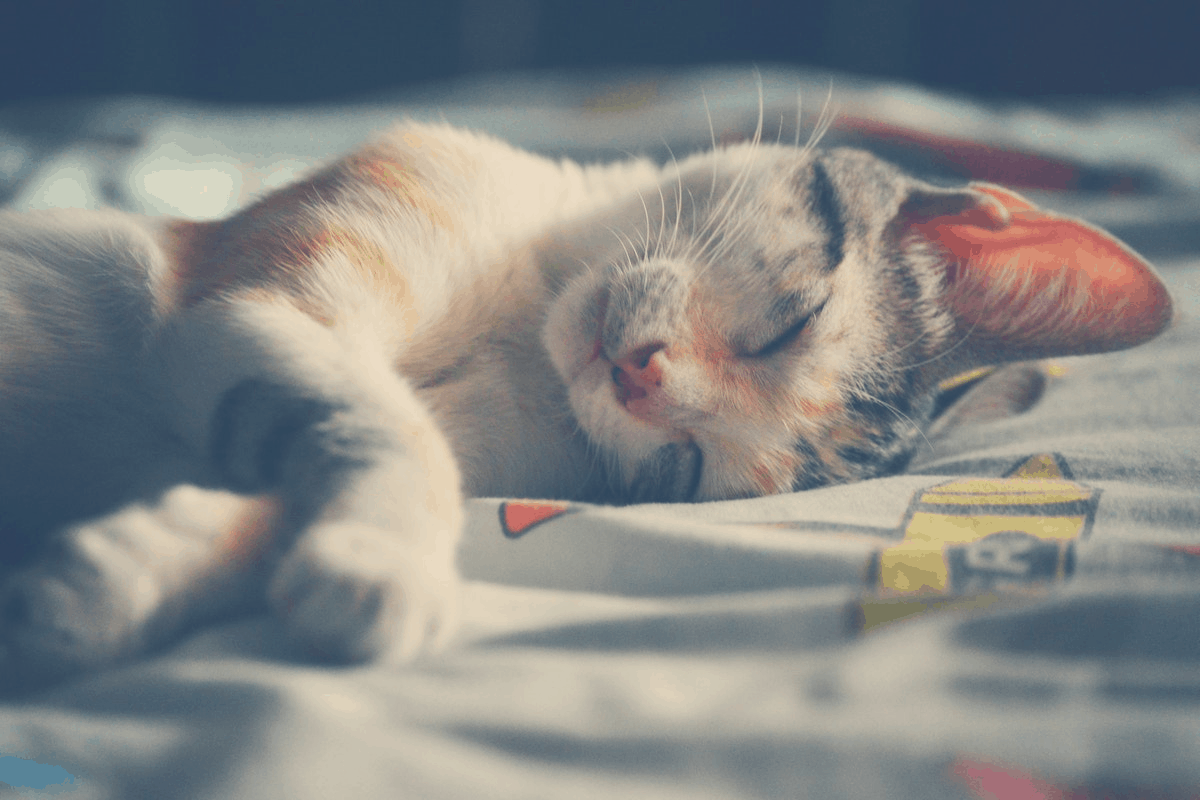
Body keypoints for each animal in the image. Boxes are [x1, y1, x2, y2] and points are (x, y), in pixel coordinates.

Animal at [0, 115, 1171, 690]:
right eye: (792, 321)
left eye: (686, 467)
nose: (640, 378)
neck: (526, 323)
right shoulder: (254, 300)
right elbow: (392, 432)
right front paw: (384, 565)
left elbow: (298, 478)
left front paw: (111, 580)